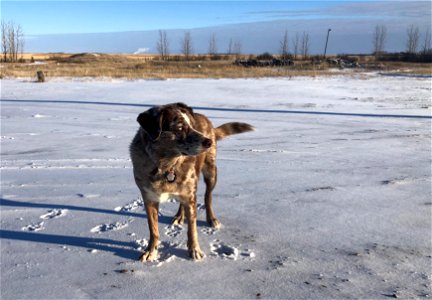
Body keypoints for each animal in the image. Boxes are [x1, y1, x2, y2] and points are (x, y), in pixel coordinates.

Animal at [130, 102, 255, 260]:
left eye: (192, 125)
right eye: (179, 127)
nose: (208, 141)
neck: (166, 166)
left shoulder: (190, 196)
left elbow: (192, 228)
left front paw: (194, 250)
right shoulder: (149, 198)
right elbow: (153, 229)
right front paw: (151, 251)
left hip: (210, 172)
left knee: (208, 197)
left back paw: (211, 219)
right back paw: (179, 216)